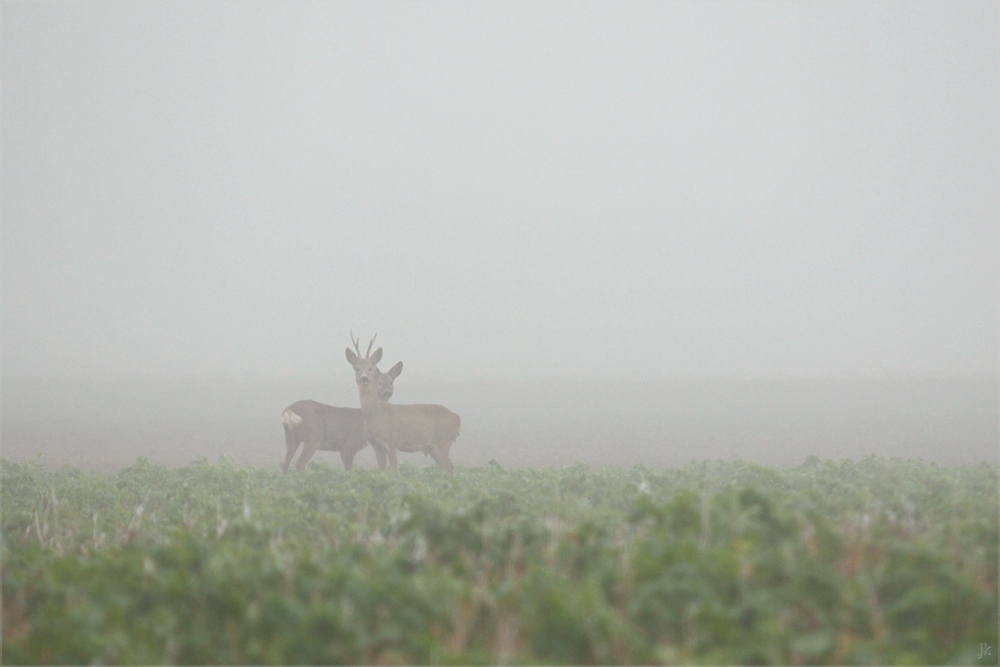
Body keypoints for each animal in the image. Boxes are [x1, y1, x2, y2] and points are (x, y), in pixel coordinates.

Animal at [344, 332, 460, 472]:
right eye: (356, 368)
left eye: (371, 368)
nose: (364, 378)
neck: (377, 414)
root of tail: (457, 418)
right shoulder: (376, 445)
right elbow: (382, 470)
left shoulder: (392, 442)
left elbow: (394, 470)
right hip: (435, 447)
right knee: (450, 466)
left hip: (442, 442)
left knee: (447, 468)